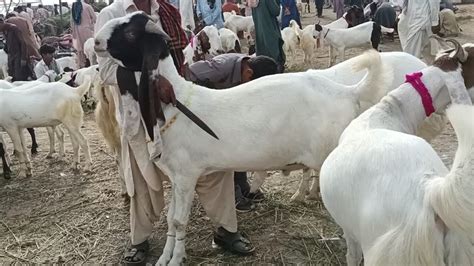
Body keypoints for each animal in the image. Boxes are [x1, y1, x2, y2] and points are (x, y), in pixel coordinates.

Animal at [318, 40, 474, 266]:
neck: (389, 111)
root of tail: (429, 190)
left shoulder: (350, 230)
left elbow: (352, 256)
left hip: (392, 253)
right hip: (459, 251)